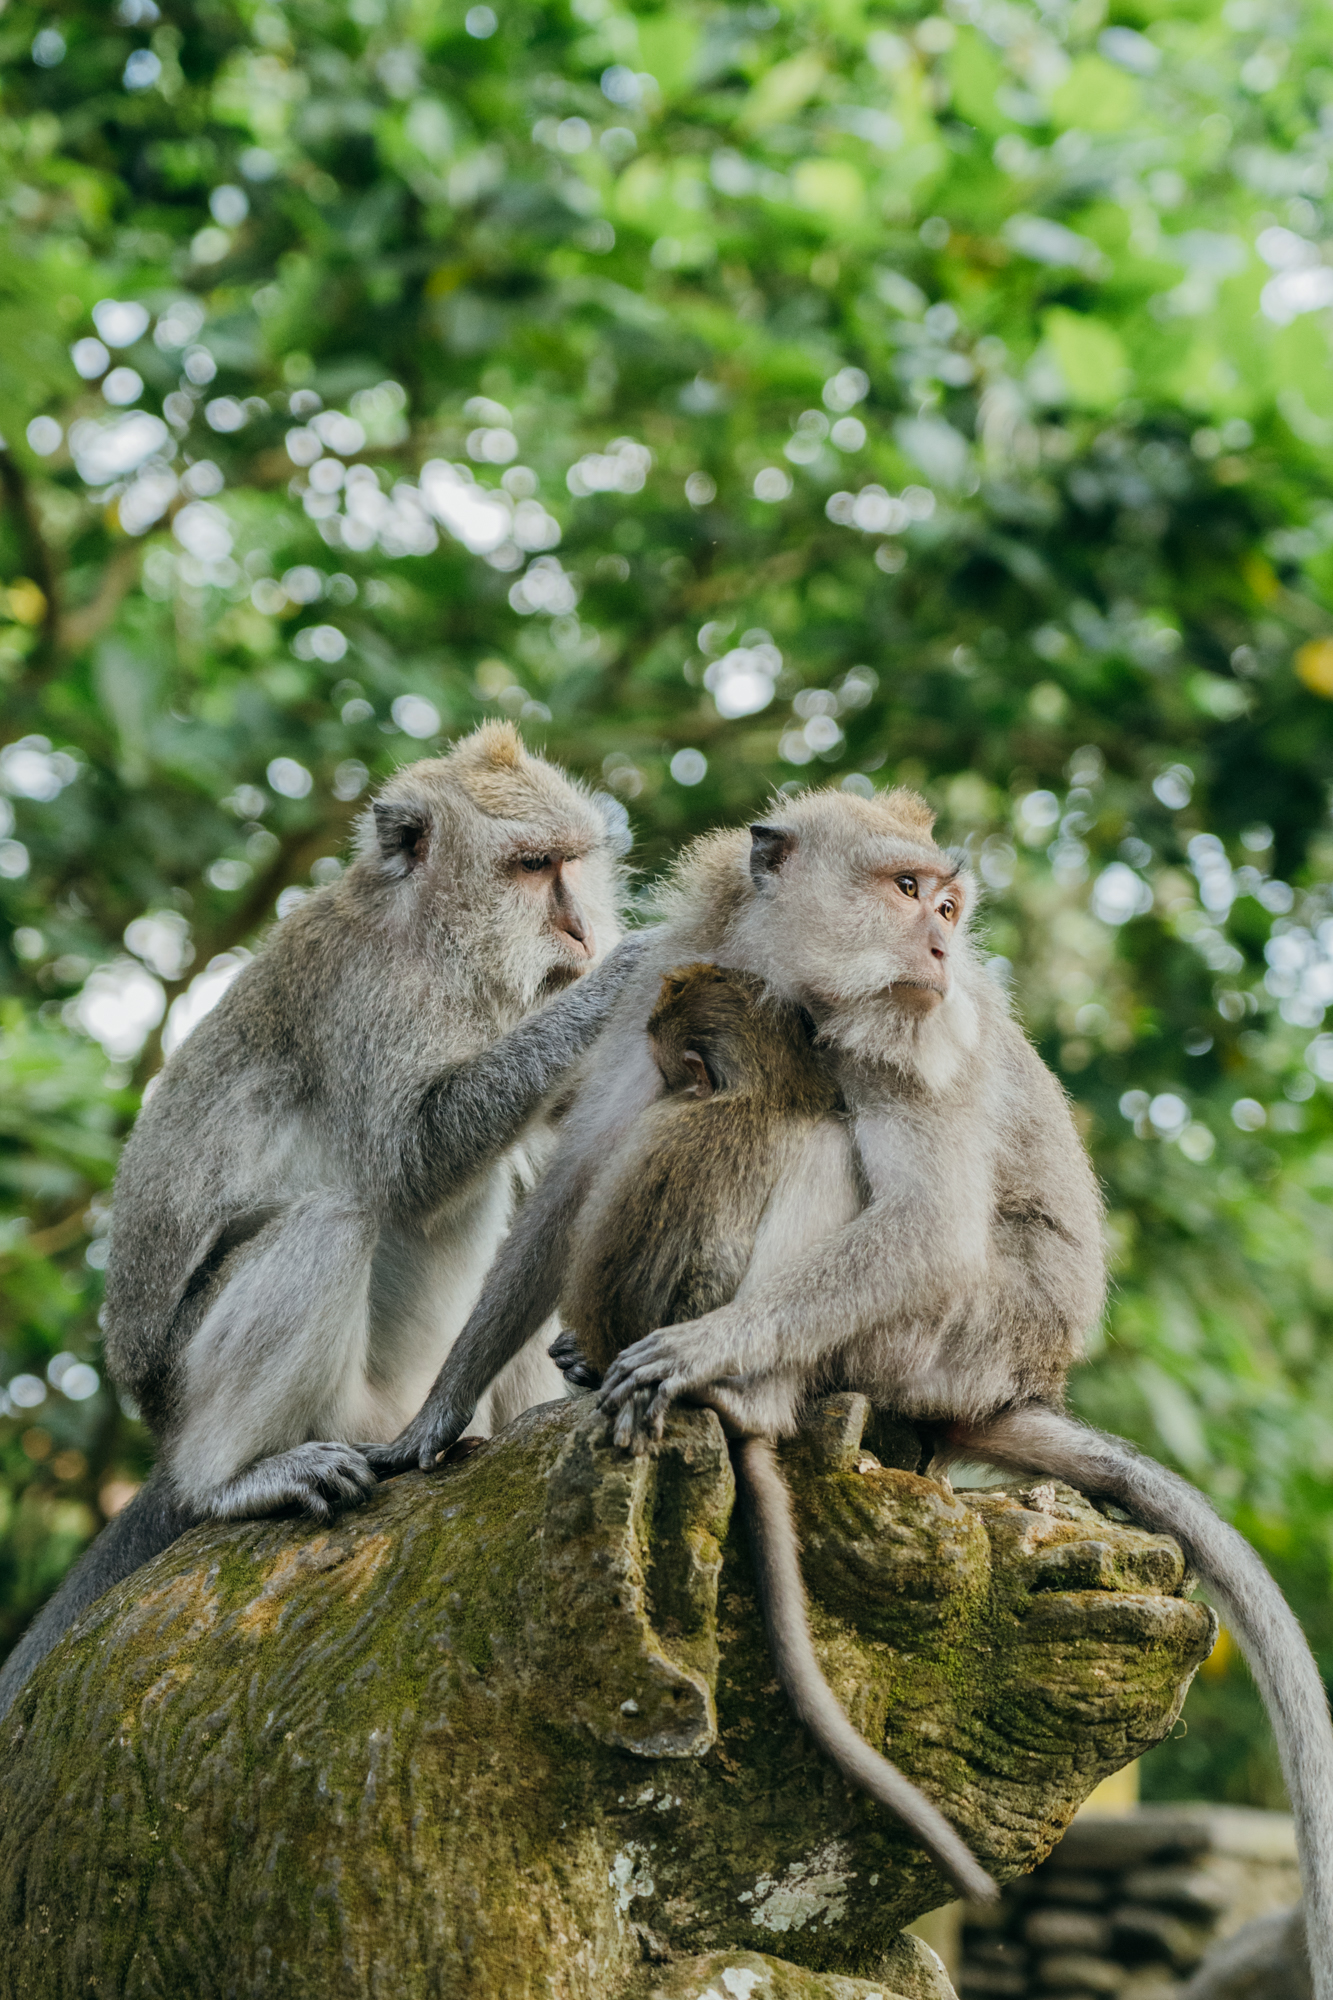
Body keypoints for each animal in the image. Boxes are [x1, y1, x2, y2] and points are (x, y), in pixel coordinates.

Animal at [0, 724, 640, 1720]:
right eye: (534, 868)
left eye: (576, 863)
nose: (581, 931)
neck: (434, 941)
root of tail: (162, 1430)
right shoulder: (367, 998)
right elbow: (414, 1158)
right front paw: (625, 974)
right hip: (293, 1401)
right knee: (332, 1219)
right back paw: (231, 1482)